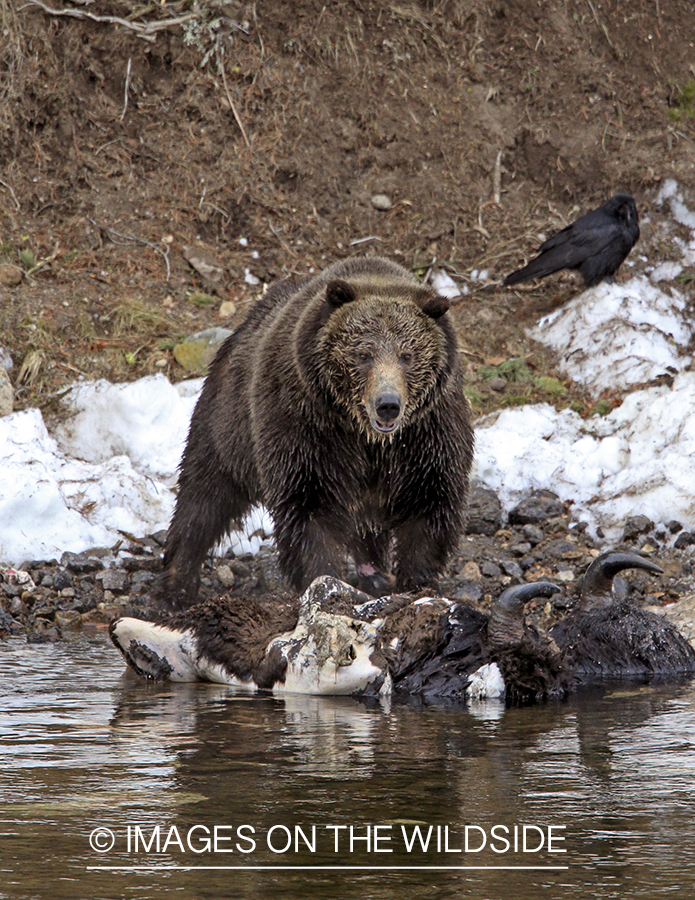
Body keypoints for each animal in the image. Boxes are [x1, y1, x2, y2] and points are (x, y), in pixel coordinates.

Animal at [161, 258, 476, 612]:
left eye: (407, 355)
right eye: (364, 354)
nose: (388, 405)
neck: (365, 435)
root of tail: (240, 330)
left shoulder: (427, 434)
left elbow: (430, 500)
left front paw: (417, 582)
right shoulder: (307, 427)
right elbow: (310, 506)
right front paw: (323, 580)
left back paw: (374, 574)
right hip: (228, 423)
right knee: (204, 496)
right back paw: (178, 583)